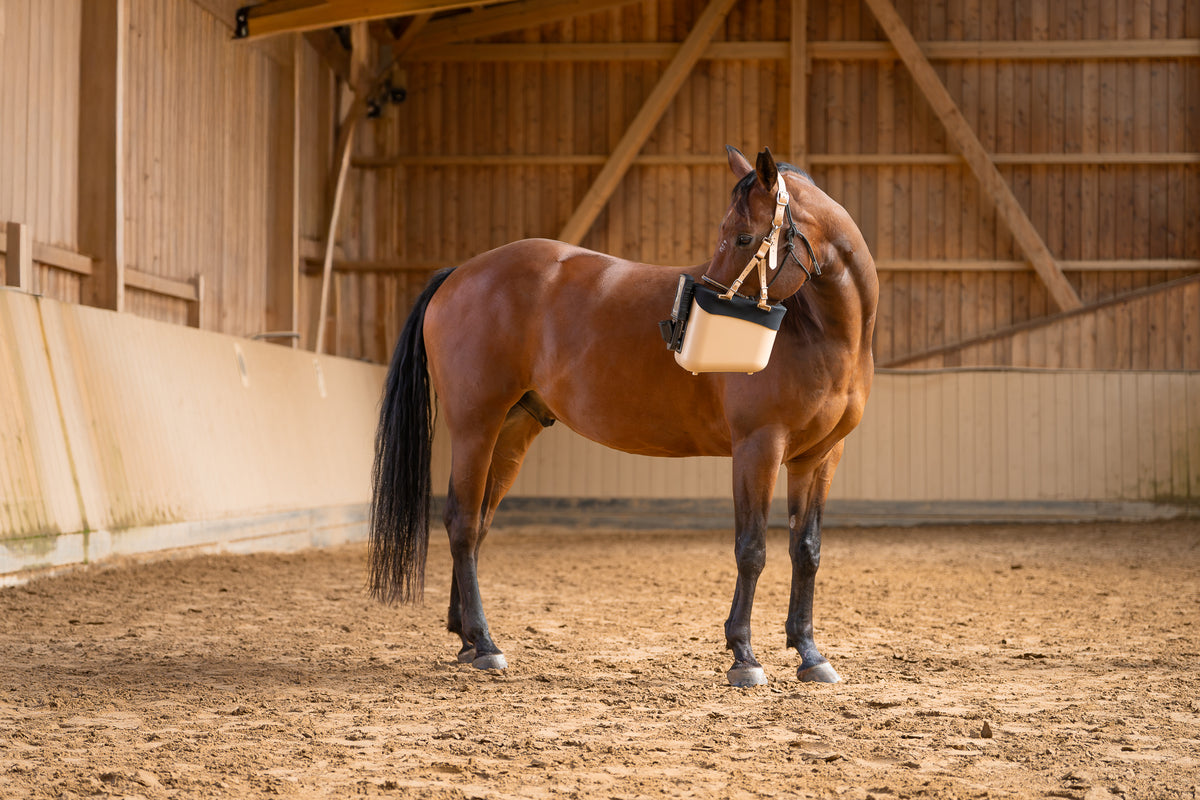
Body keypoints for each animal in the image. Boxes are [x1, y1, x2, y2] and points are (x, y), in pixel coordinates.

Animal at [369, 146, 878, 687]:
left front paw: (810, 653)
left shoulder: (819, 457)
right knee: (462, 523)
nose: (685, 322)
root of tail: (460, 273)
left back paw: (466, 639)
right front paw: (743, 656)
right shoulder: (758, 446)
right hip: (475, 426)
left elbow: (807, 551)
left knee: (478, 523)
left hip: (511, 430)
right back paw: (485, 645)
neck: (819, 332)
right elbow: (752, 548)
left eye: (743, 236)